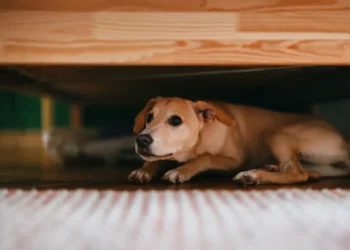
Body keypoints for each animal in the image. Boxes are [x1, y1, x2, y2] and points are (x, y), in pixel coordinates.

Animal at [129, 96, 350, 186]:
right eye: (149, 117)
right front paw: (144, 170)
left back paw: (253, 176)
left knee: (297, 174)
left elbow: (205, 157)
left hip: (277, 134)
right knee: (308, 172)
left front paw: (180, 171)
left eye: (175, 120)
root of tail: (344, 141)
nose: (141, 140)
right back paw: (269, 168)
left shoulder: (234, 160)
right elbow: (157, 159)